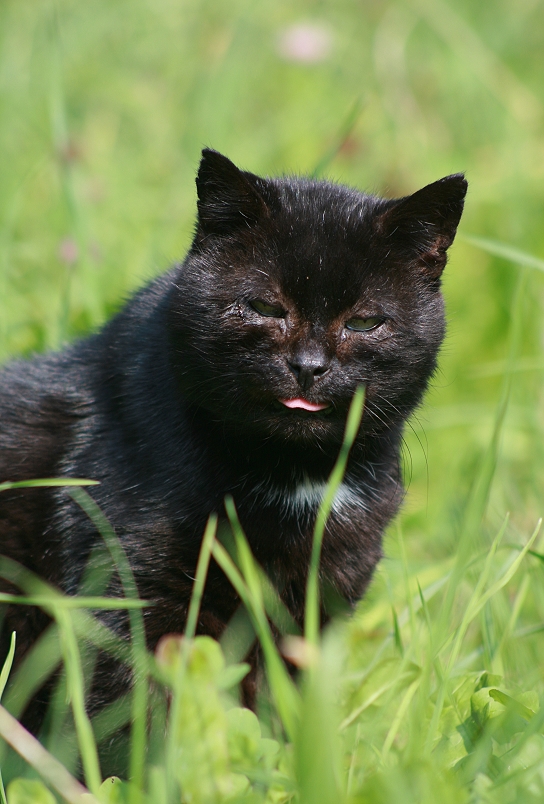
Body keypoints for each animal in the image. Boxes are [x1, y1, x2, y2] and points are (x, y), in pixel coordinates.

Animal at [0, 151, 468, 716]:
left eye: (364, 322)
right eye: (265, 307)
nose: (308, 366)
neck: (296, 477)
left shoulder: (314, 612)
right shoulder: (131, 588)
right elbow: (137, 708)